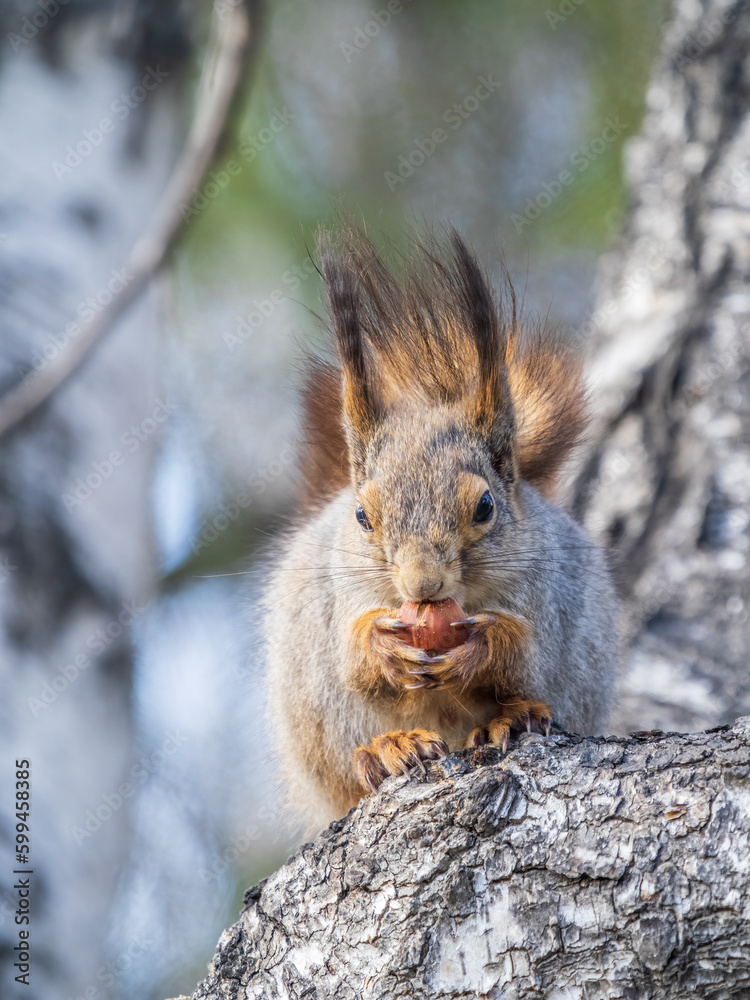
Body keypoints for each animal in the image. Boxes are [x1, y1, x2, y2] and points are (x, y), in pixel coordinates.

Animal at [263, 226, 618, 833]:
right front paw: (381, 645)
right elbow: (355, 660)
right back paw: (387, 749)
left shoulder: (545, 592)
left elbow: (524, 654)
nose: (422, 586)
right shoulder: (346, 590)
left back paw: (512, 722)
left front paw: (480, 647)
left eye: (485, 507)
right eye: (362, 516)